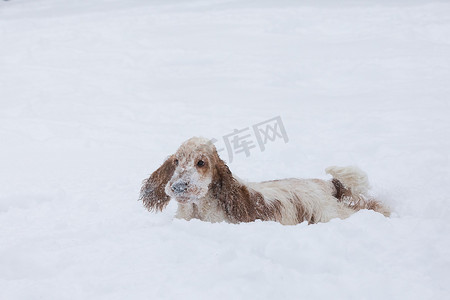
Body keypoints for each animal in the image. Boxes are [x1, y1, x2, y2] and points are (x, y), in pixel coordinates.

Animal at [139, 137, 388, 224]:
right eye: (177, 161)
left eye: (201, 162)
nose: (178, 186)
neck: (197, 209)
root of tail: (327, 184)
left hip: (332, 214)